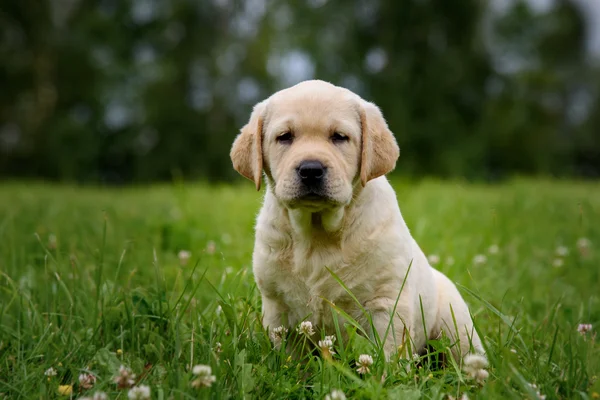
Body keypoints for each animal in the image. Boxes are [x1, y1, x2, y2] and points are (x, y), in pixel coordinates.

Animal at [230, 79, 482, 360]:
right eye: (284, 137)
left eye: (339, 137)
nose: (310, 169)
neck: (317, 233)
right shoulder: (278, 308)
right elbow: (290, 358)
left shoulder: (386, 304)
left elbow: (388, 355)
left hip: (457, 325)